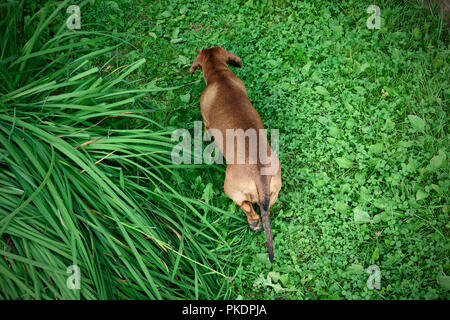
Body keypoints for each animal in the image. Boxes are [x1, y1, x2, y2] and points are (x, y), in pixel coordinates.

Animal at [190, 45, 282, 262]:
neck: (218, 75)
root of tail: (260, 178)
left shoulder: (205, 119)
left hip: (230, 188)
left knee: (248, 208)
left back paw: (253, 223)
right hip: (274, 190)